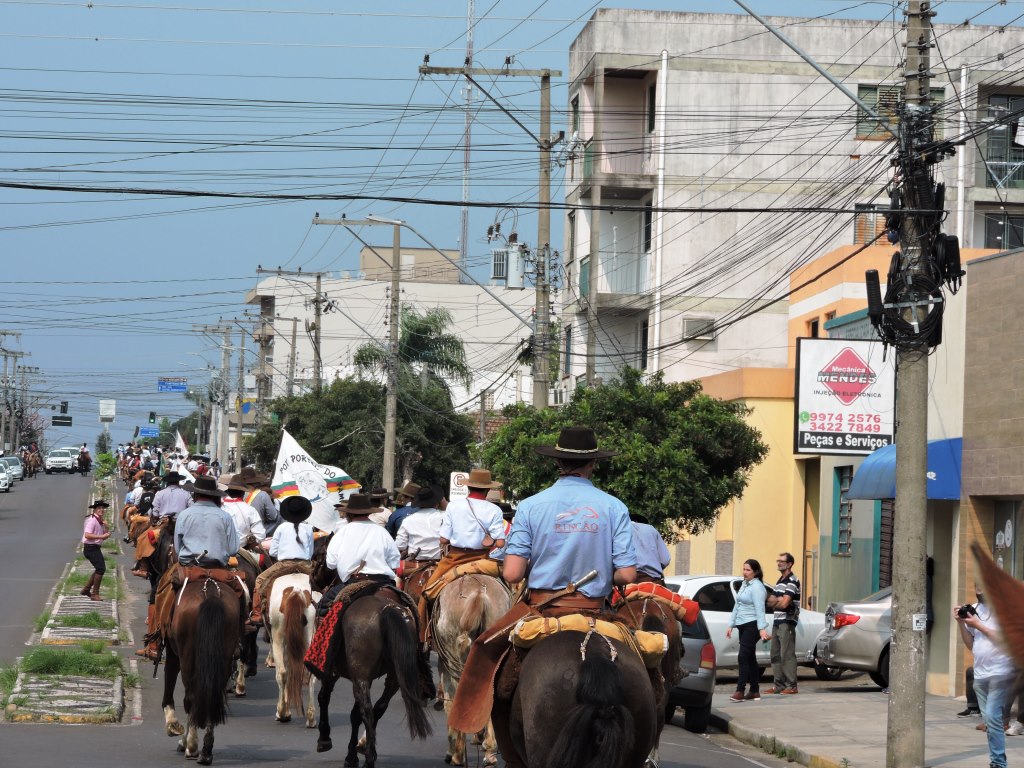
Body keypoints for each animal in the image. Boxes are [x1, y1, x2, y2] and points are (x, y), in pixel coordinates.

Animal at [163, 573, 243, 765]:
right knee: (213, 697)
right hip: (223, 658)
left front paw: (173, 726)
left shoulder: (172, 652)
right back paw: (206, 751)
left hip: (186, 656)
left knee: (191, 698)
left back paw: (191, 746)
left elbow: (169, 684)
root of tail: (211, 592)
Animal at [268, 573, 315, 729]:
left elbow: (285, 672)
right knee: (311, 674)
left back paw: (281, 712)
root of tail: (297, 590)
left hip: (277, 638)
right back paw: (311, 718)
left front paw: (284, 711)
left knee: (282, 673)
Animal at [432, 573, 512, 765]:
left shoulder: (444, 665)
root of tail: (479, 592)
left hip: (453, 660)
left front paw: (454, 752)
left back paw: (459, 754)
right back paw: (489, 751)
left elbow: (450, 702)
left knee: (458, 699)